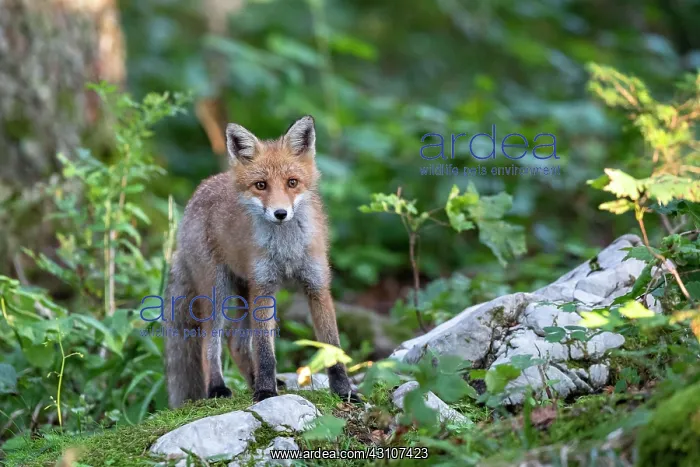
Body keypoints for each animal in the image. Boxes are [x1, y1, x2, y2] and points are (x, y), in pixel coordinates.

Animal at [163, 116, 359, 407]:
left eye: (292, 182)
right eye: (261, 185)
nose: (280, 213)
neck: (287, 248)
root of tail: (200, 189)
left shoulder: (316, 285)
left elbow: (332, 347)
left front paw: (344, 391)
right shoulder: (264, 287)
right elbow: (265, 351)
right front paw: (266, 392)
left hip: (244, 291)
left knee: (235, 343)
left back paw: (252, 381)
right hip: (218, 290)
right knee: (209, 341)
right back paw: (218, 387)